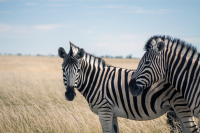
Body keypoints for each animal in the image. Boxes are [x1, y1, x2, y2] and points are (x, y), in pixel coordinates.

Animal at [58, 43, 198, 132]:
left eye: (79, 70)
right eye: (63, 69)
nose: (70, 94)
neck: (97, 81)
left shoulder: (104, 111)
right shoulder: (112, 114)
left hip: (181, 106)